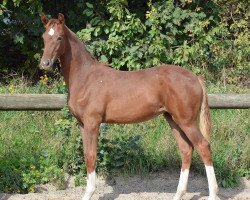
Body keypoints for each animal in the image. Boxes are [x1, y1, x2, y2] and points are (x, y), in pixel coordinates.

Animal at [40, 13, 218, 199]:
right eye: (44, 37)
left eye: (59, 37)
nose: (45, 64)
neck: (86, 77)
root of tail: (196, 78)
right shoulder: (82, 124)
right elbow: (87, 155)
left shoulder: (92, 123)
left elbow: (92, 156)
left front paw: (89, 193)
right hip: (173, 120)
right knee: (186, 150)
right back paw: (178, 194)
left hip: (187, 121)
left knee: (203, 147)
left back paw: (212, 193)